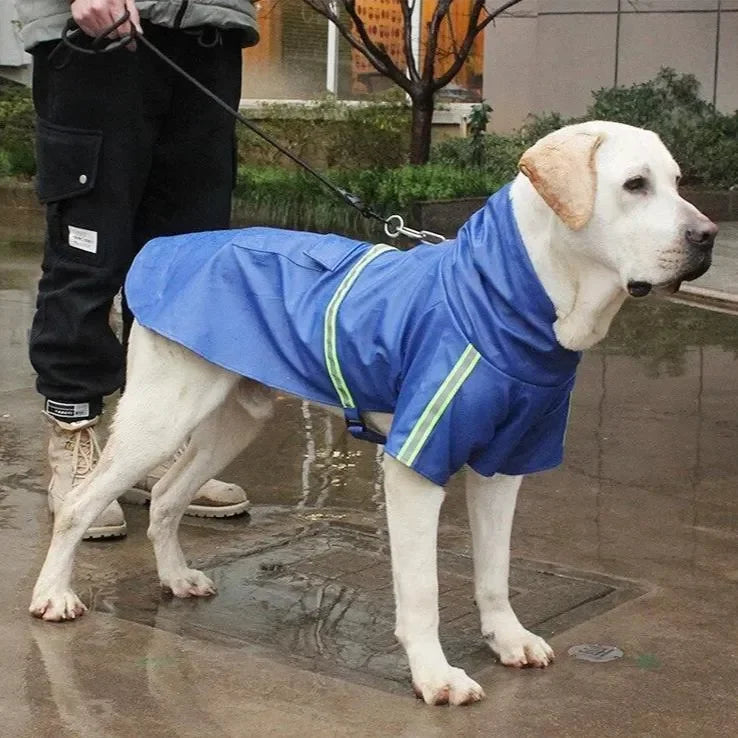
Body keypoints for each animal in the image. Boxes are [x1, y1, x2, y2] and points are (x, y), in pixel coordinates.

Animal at [28, 123, 712, 704]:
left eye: (679, 181)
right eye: (635, 185)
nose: (707, 237)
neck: (508, 298)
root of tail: (163, 249)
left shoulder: (503, 465)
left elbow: (494, 571)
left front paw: (507, 638)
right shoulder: (416, 467)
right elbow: (423, 589)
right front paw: (435, 676)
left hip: (234, 419)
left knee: (169, 494)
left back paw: (175, 578)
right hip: (160, 417)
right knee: (82, 502)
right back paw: (54, 593)